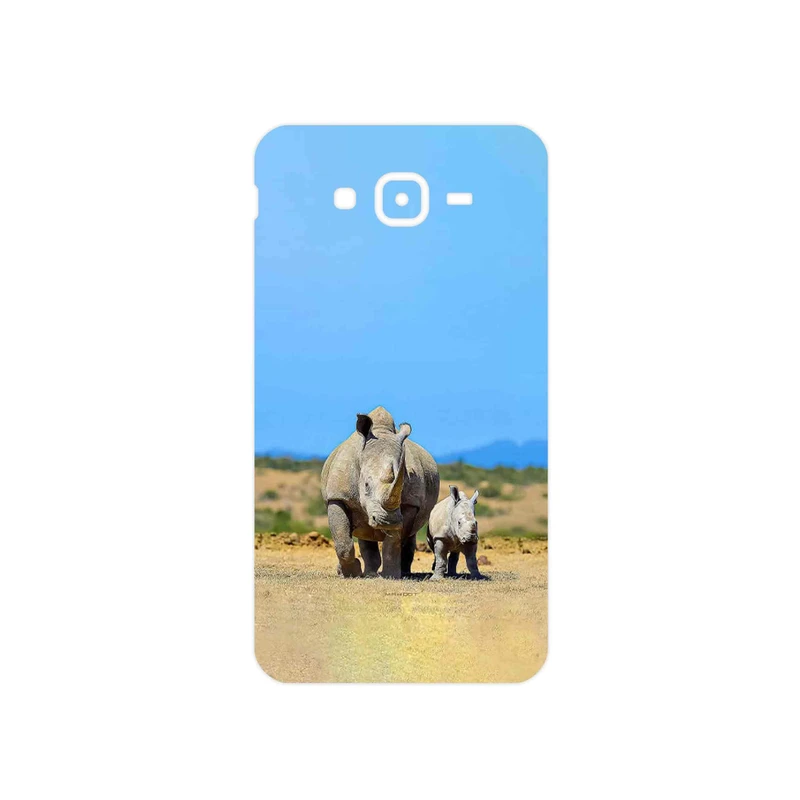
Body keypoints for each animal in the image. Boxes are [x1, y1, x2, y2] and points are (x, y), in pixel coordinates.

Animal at [320, 406, 440, 579]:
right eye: (366, 485)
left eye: (402, 486)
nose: (388, 521)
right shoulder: (338, 496)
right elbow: (342, 541)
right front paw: (351, 573)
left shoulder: (410, 503)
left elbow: (394, 541)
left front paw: (391, 575)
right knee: (364, 532)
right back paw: (367, 573)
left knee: (409, 534)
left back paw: (402, 572)